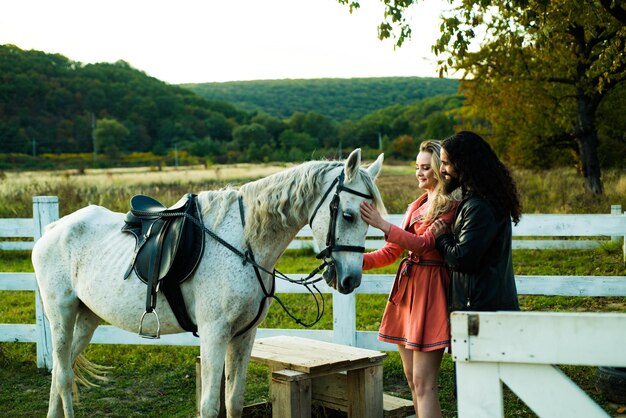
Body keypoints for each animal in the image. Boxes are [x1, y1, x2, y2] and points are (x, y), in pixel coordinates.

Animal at [34, 149, 386, 416]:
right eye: (350, 215)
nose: (350, 279)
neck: (245, 243)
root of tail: (52, 229)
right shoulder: (214, 334)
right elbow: (210, 406)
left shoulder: (243, 335)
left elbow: (233, 401)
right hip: (61, 316)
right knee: (63, 377)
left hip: (86, 318)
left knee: (60, 375)